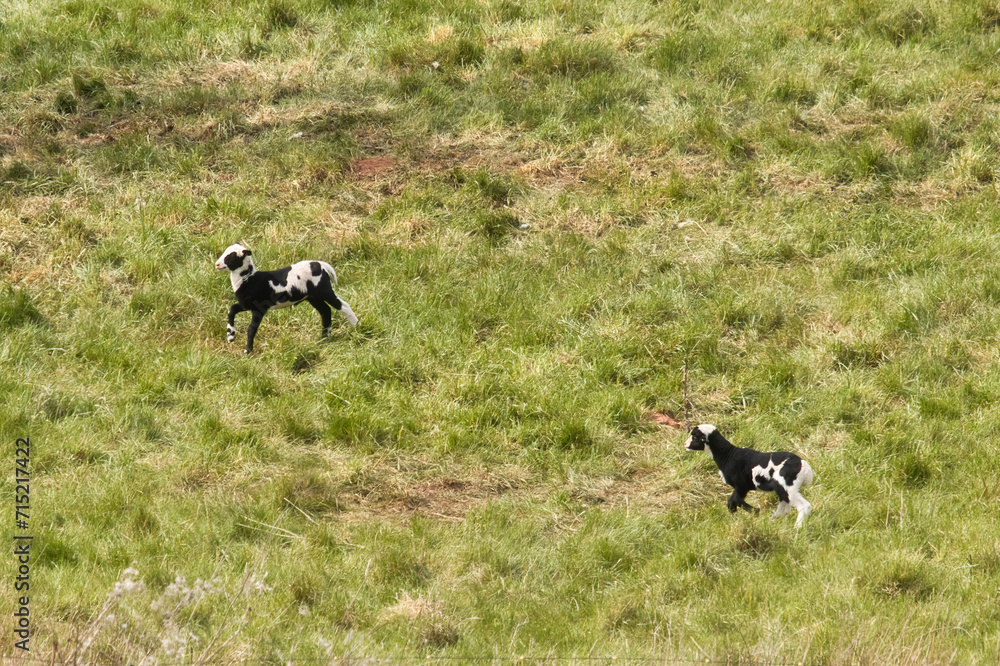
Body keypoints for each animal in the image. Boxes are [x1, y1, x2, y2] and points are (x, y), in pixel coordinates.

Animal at [215, 243, 358, 354]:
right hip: (312, 297)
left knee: (343, 306)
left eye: (231, 256)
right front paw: (230, 335)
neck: (249, 279)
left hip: (324, 290)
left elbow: (251, 329)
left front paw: (247, 351)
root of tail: (320, 265)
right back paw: (324, 339)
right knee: (325, 311)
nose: (217, 264)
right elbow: (232, 310)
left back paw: (357, 326)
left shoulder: (259, 308)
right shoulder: (246, 304)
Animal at [684, 424, 814, 528]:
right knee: (784, 506)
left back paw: (797, 528)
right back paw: (774, 522)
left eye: (694, 437)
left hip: (787, 485)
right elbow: (732, 501)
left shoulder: (741, 485)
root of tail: (805, 467)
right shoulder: (742, 487)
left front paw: (754, 511)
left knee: (804, 506)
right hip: (782, 488)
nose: (685, 444)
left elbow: (734, 500)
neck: (728, 455)